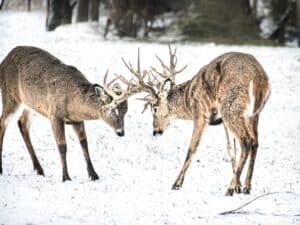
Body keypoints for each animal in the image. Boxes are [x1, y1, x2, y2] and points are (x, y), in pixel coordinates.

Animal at [0, 45, 135, 181]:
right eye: (110, 110)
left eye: (125, 111)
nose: (121, 132)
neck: (72, 102)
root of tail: (4, 61)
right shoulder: (54, 115)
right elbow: (62, 146)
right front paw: (66, 177)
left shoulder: (77, 120)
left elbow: (84, 143)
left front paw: (93, 174)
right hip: (11, 96)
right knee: (3, 122)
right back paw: (1, 169)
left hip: (31, 105)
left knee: (22, 122)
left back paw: (39, 169)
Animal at [120, 45, 270, 195]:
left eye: (154, 109)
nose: (156, 131)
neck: (187, 100)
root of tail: (258, 77)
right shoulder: (222, 121)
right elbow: (230, 149)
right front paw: (238, 185)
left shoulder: (200, 113)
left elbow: (192, 148)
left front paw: (176, 184)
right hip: (252, 114)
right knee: (254, 142)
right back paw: (246, 187)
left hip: (231, 106)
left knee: (246, 141)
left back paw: (229, 189)